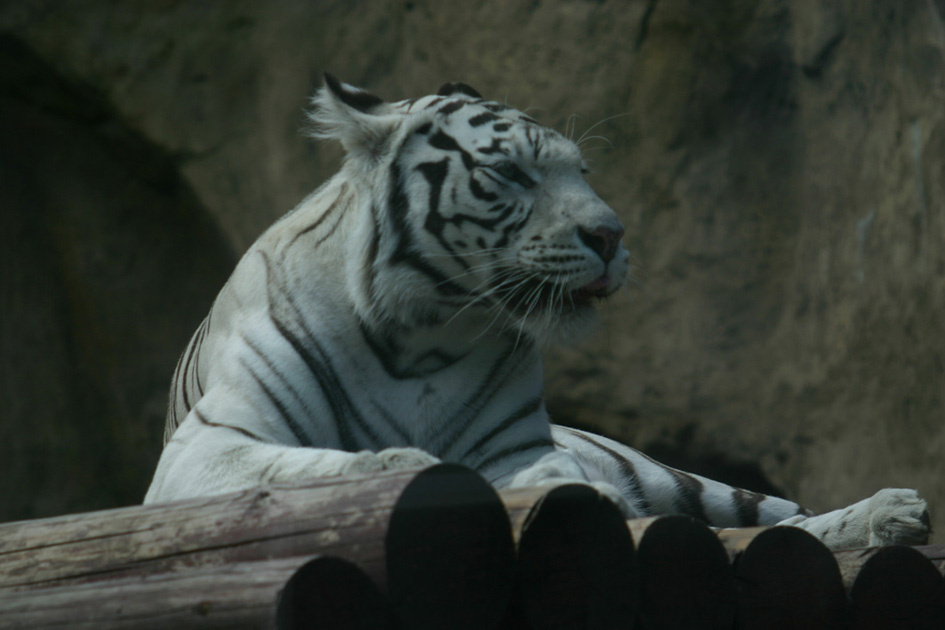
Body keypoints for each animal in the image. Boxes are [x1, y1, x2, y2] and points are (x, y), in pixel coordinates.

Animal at [144, 75, 930, 550]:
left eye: (580, 171)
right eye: (510, 174)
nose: (611, 236)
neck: (422, 334)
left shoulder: (520, 449)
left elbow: (549, 479)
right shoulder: (204, 452)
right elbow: (313, 468)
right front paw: (402, 463)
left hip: (678, 479)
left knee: (782, 523)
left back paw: (892, 513)